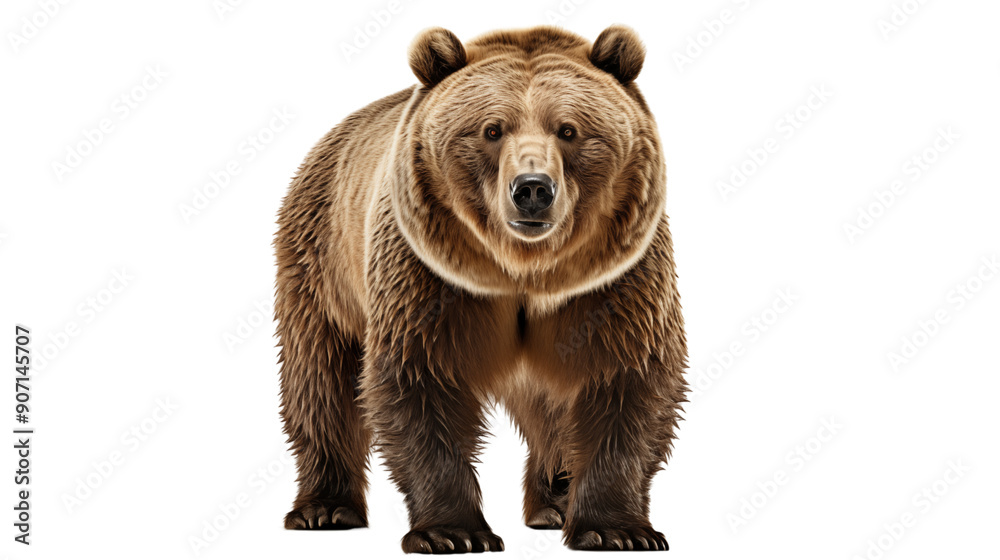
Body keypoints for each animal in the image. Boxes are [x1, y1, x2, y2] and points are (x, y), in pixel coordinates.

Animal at [274, 25, 688, 553]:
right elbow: (421, 378)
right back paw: (325, 507)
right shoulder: (428, 277)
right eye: (492, 129)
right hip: (323, 261)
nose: (532, 188)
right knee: (321, 378)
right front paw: (453, 532)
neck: (525, 271)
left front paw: (616, 529)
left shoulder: (615, 281)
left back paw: (554, 502)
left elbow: (626, 378)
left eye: (568, 130)